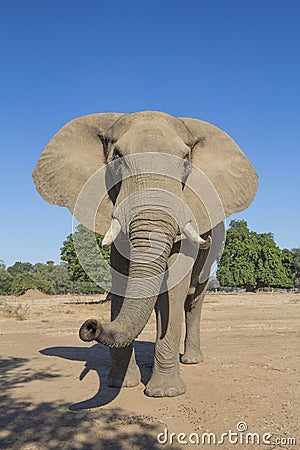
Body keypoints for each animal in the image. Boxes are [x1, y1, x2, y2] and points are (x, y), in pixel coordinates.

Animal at [32, 110, 258, 398]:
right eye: (117, 158)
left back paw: (192, 360)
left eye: (186, 163)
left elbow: (174, 289)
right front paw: (122, 384)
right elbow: (120, 281)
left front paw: (165, 393)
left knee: (193, 300)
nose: (90, 325)